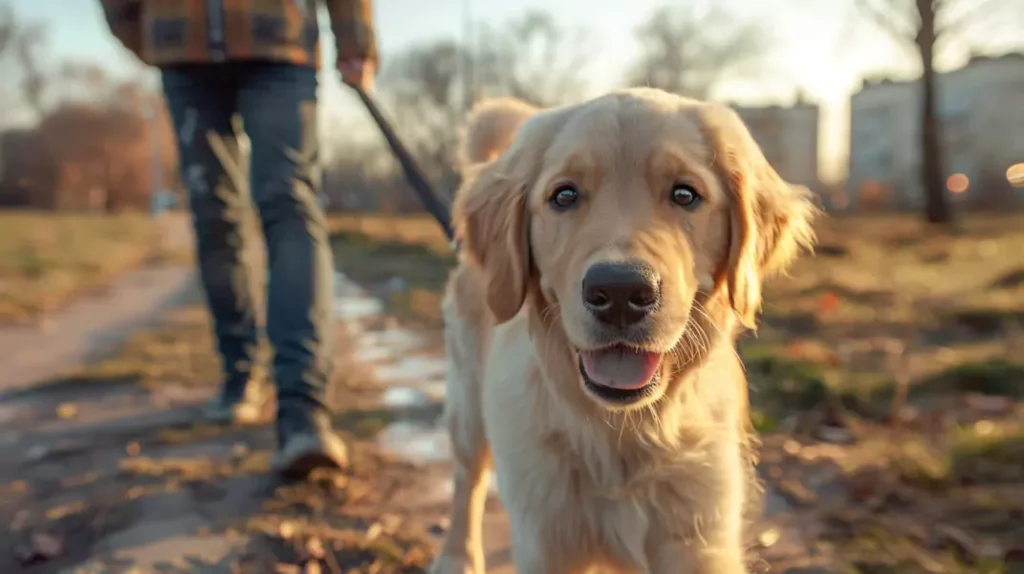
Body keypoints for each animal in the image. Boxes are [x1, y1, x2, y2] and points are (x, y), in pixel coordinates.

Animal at [430, 85, 815, 572]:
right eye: (564, 196)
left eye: (685, 194)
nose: (619, 291)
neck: (622, 434)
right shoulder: (548, 537)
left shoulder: (698, 538)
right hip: (468, 404)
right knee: (468, 476)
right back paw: (456, 556)